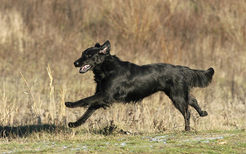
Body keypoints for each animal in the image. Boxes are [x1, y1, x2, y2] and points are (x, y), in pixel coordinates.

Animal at [65, 40, 213, 131]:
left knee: (187, 112)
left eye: (88, 55)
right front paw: (75, 124)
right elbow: (88, 111)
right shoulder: (102, 96)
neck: (107, 68)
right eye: (82, 54)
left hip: (177, 96)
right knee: (193, 100)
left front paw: (70, 104)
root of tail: (181, 68)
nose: (75, 63)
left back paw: (187, 129)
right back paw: (203, 113)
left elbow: (85, 100)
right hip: (178, 93)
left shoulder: (106, 95)